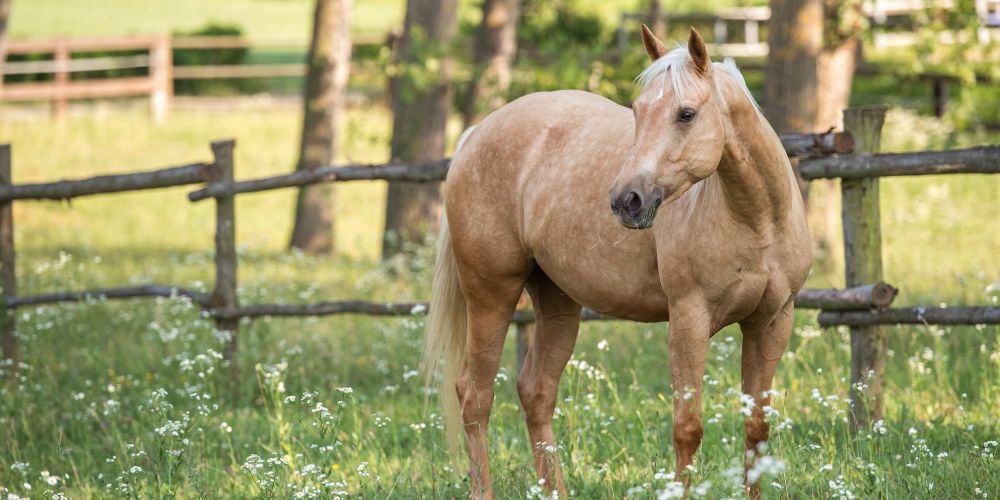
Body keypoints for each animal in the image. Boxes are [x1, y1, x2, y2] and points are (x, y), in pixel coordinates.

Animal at [422, 26, 811, 498]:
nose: (627, 199)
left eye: (685, 114)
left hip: (557, 302)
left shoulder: (771, 323)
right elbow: (688, 429)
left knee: (536, 392)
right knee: (475, 396)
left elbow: (756, 430)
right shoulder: (689, 321)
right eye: (638, 111)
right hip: (491, 295)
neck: (757, 221)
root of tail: (476, 133)